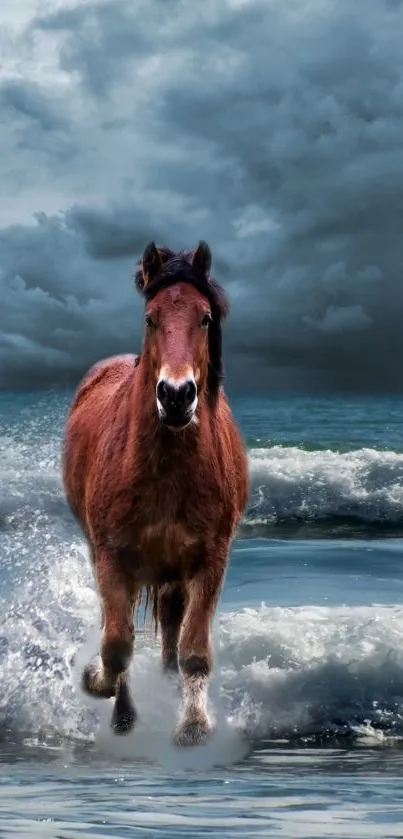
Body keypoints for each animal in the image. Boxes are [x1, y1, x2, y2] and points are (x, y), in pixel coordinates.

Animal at [62, 243, 249, 748]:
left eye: (205, 318)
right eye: (150, 318)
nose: (177, 395)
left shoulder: (210, 560)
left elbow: (193, 649)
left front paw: (193, 725)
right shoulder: (112, 557)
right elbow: (116, 644)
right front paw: (97, 683)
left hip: (173, 573)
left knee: (169, 631)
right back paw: (123, 714)